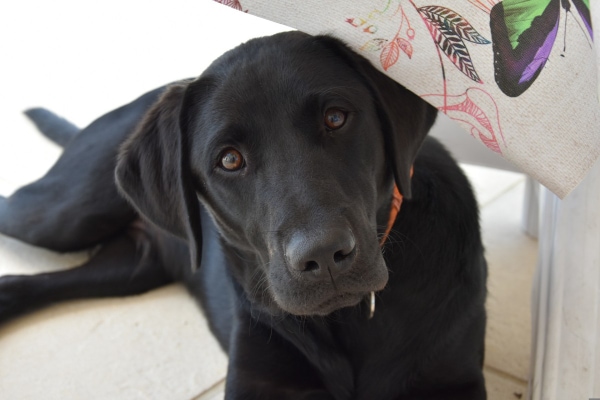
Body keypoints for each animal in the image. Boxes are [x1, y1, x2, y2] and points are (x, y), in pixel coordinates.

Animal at [0, 32, 488, 400]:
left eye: (335, 118)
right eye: (229, 160)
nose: (323, 256)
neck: (347, 320)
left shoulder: (453, 378)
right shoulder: (258, 380)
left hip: (131, 267)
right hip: (62, 215)